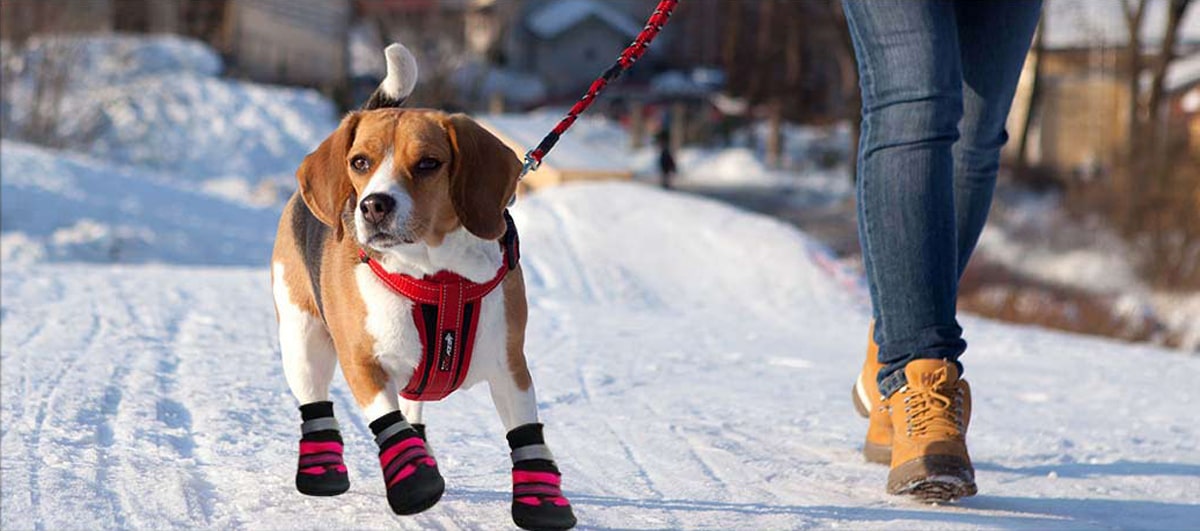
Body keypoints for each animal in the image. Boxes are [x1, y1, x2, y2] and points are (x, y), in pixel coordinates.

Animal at [272, 45, 576, 531]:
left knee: (411, 408)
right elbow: (386, 418)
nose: (374, 205)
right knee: (316, 404)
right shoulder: (361, 361)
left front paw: (542, 500)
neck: (436, 274)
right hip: (302, 341)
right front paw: (415, 481)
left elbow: (524, 430)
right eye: (360, 162)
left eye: (429, 163)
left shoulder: (510, 366)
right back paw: (323, 471)